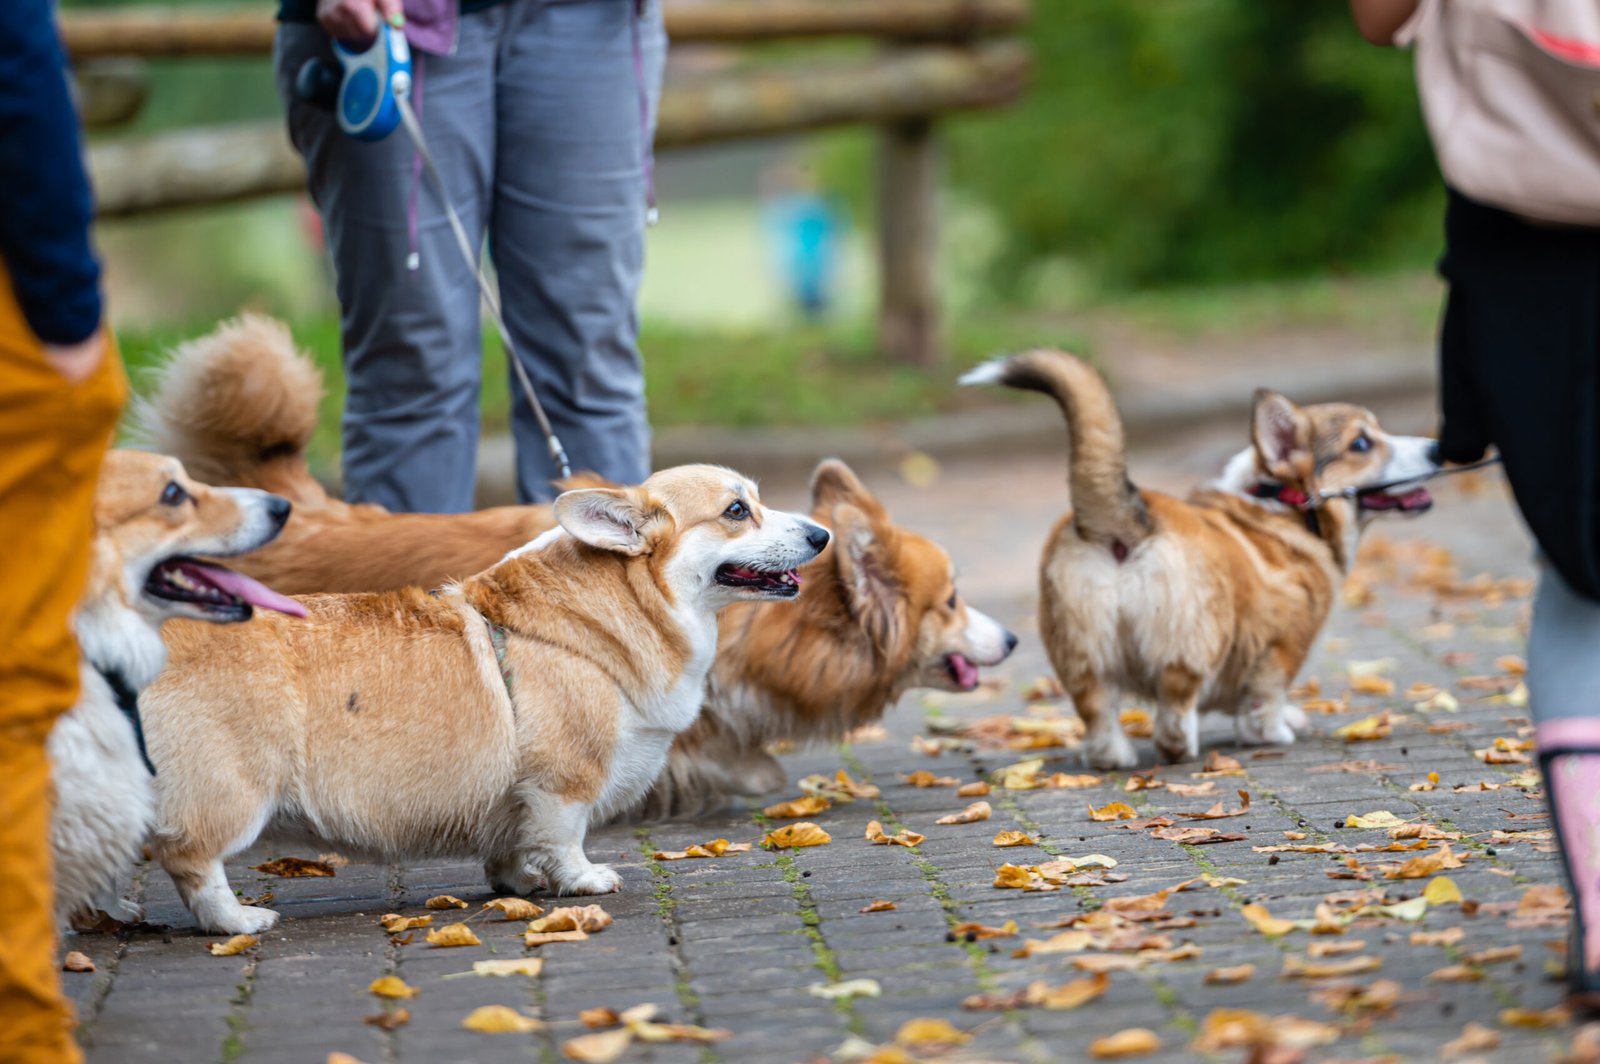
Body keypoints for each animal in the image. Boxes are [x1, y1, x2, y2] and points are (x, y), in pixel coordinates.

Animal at [139, 464, 832, 928]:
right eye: (738, 511)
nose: (823, 536)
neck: (630, 602)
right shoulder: (562, 781)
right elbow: (564, 837)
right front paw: (582, 881)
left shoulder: (514, 796)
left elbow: (511, 843)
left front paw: (517, 883)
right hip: (232, 791)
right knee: (192, 859)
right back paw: (237, 922)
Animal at [960, 352, 1440, 768]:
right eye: (1361, 443)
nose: (1437, 449)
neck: (1285, 504)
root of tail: (1125, 520)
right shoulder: (1283, 645)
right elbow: (1267, 697)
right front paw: (1274, 731)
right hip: (1193, 641)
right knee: (1174, 709)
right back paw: (1181, 747)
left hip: (1081, 652)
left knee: (1097, 711)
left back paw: (1114, 757)